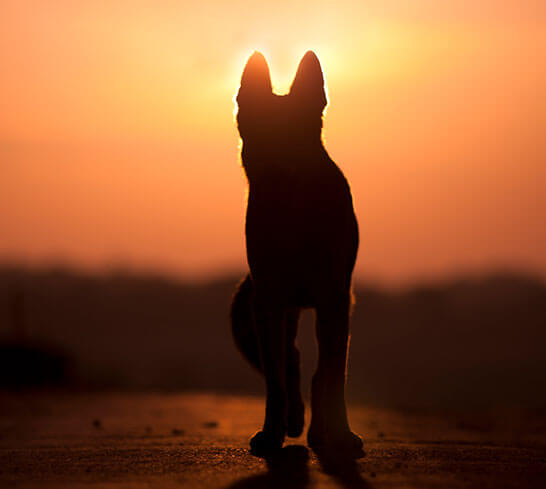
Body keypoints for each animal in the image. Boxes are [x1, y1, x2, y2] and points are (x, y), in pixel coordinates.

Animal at [231, 49, 362, 454]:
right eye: (259, 134)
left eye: (296, 136)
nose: (276, 173)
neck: (295, 212)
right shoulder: (269, 302)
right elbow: (277, 379)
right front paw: (272, 432)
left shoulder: (335, 299)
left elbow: (333, 374)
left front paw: (340, 434)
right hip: (275, 312)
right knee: (291, 363)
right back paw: (293, 420)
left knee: (316, 368)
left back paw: (319, 430)